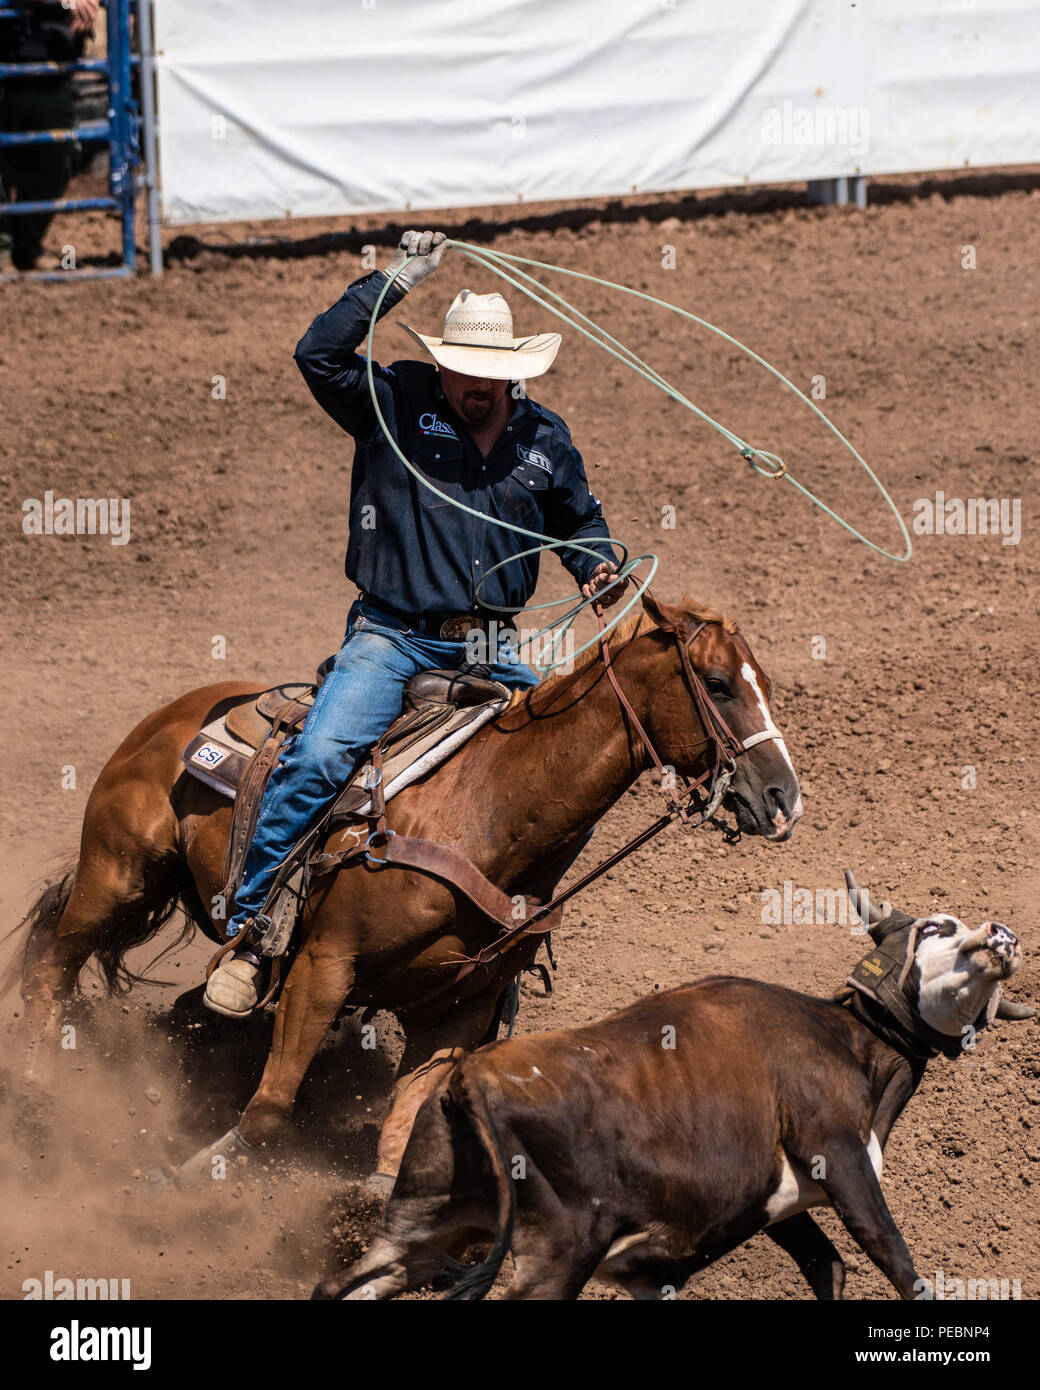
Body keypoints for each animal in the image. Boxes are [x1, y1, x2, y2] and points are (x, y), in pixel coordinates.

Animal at [9, 593, 802, 1184]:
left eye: (766, 684)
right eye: (720, 685)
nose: (784, 800)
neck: (486, 815)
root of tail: (180, 711)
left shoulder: (459, 1006)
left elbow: (400, 1134)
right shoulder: (323, 966)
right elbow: (268, 1112)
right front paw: (192, 1180)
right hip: (117, 874)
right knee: (52, 969)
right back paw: (40, 1099)